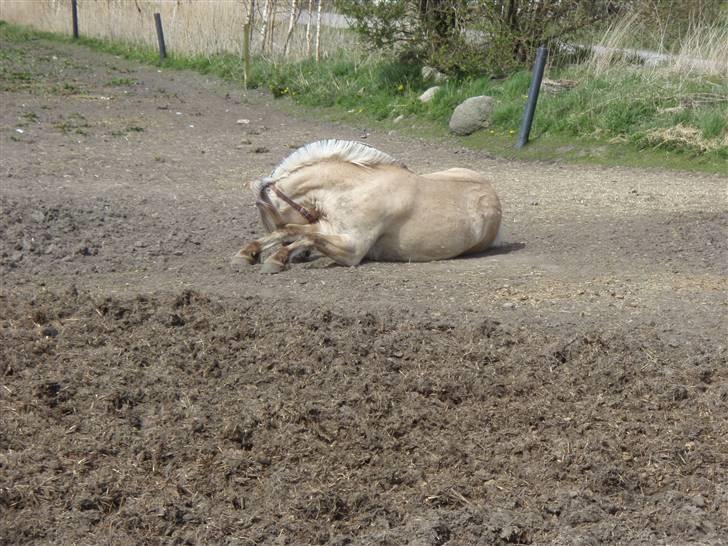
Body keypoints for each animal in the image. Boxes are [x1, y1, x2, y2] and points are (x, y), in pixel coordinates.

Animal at [232, 138, 500, 270]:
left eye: (269, 217)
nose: (302, 258)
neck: (354, 189)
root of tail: (494, 197)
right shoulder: (329, 228)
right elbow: (291, 231)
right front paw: (247, 253)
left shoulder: (353, 249)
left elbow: (306, 236)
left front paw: (275, 259)